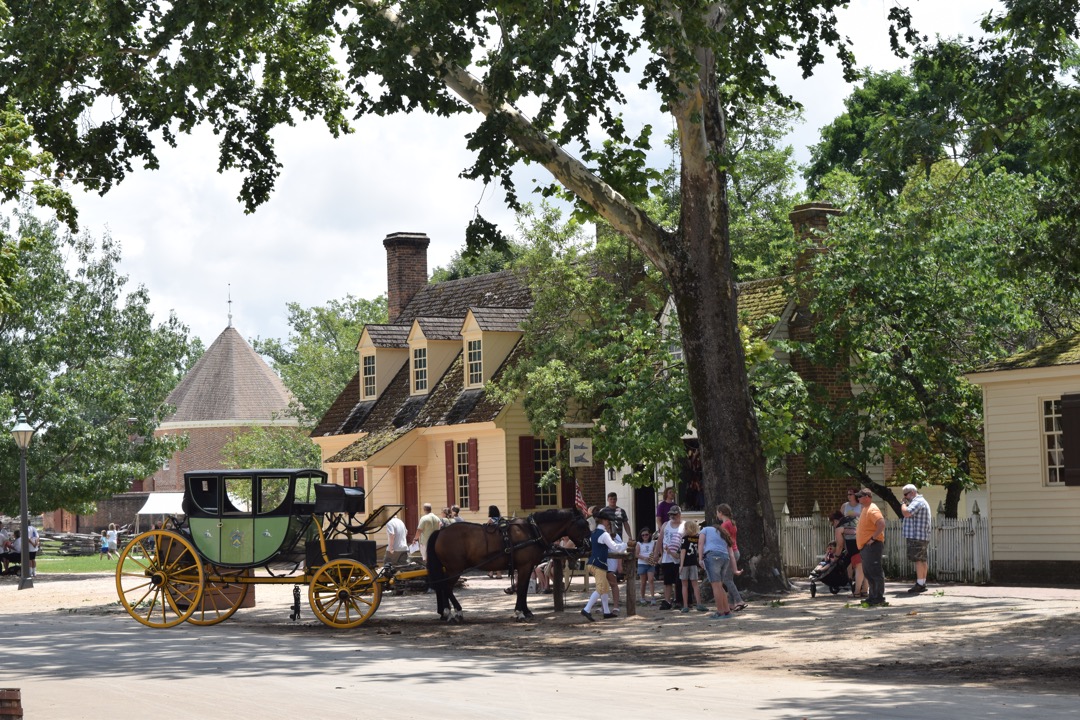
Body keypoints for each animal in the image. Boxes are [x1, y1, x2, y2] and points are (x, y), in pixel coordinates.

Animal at [423, 509, 591, 621]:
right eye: (583, 525)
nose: (589, 545)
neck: (532, 530)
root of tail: (441, 531)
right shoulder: (524, 566)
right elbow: (521, 589)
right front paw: (520, 613)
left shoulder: (527, 567)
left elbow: (523, 589)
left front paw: (526, 611)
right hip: (455, 568)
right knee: (446, 587)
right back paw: (454, 612)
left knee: (444, 587)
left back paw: (449, 611)